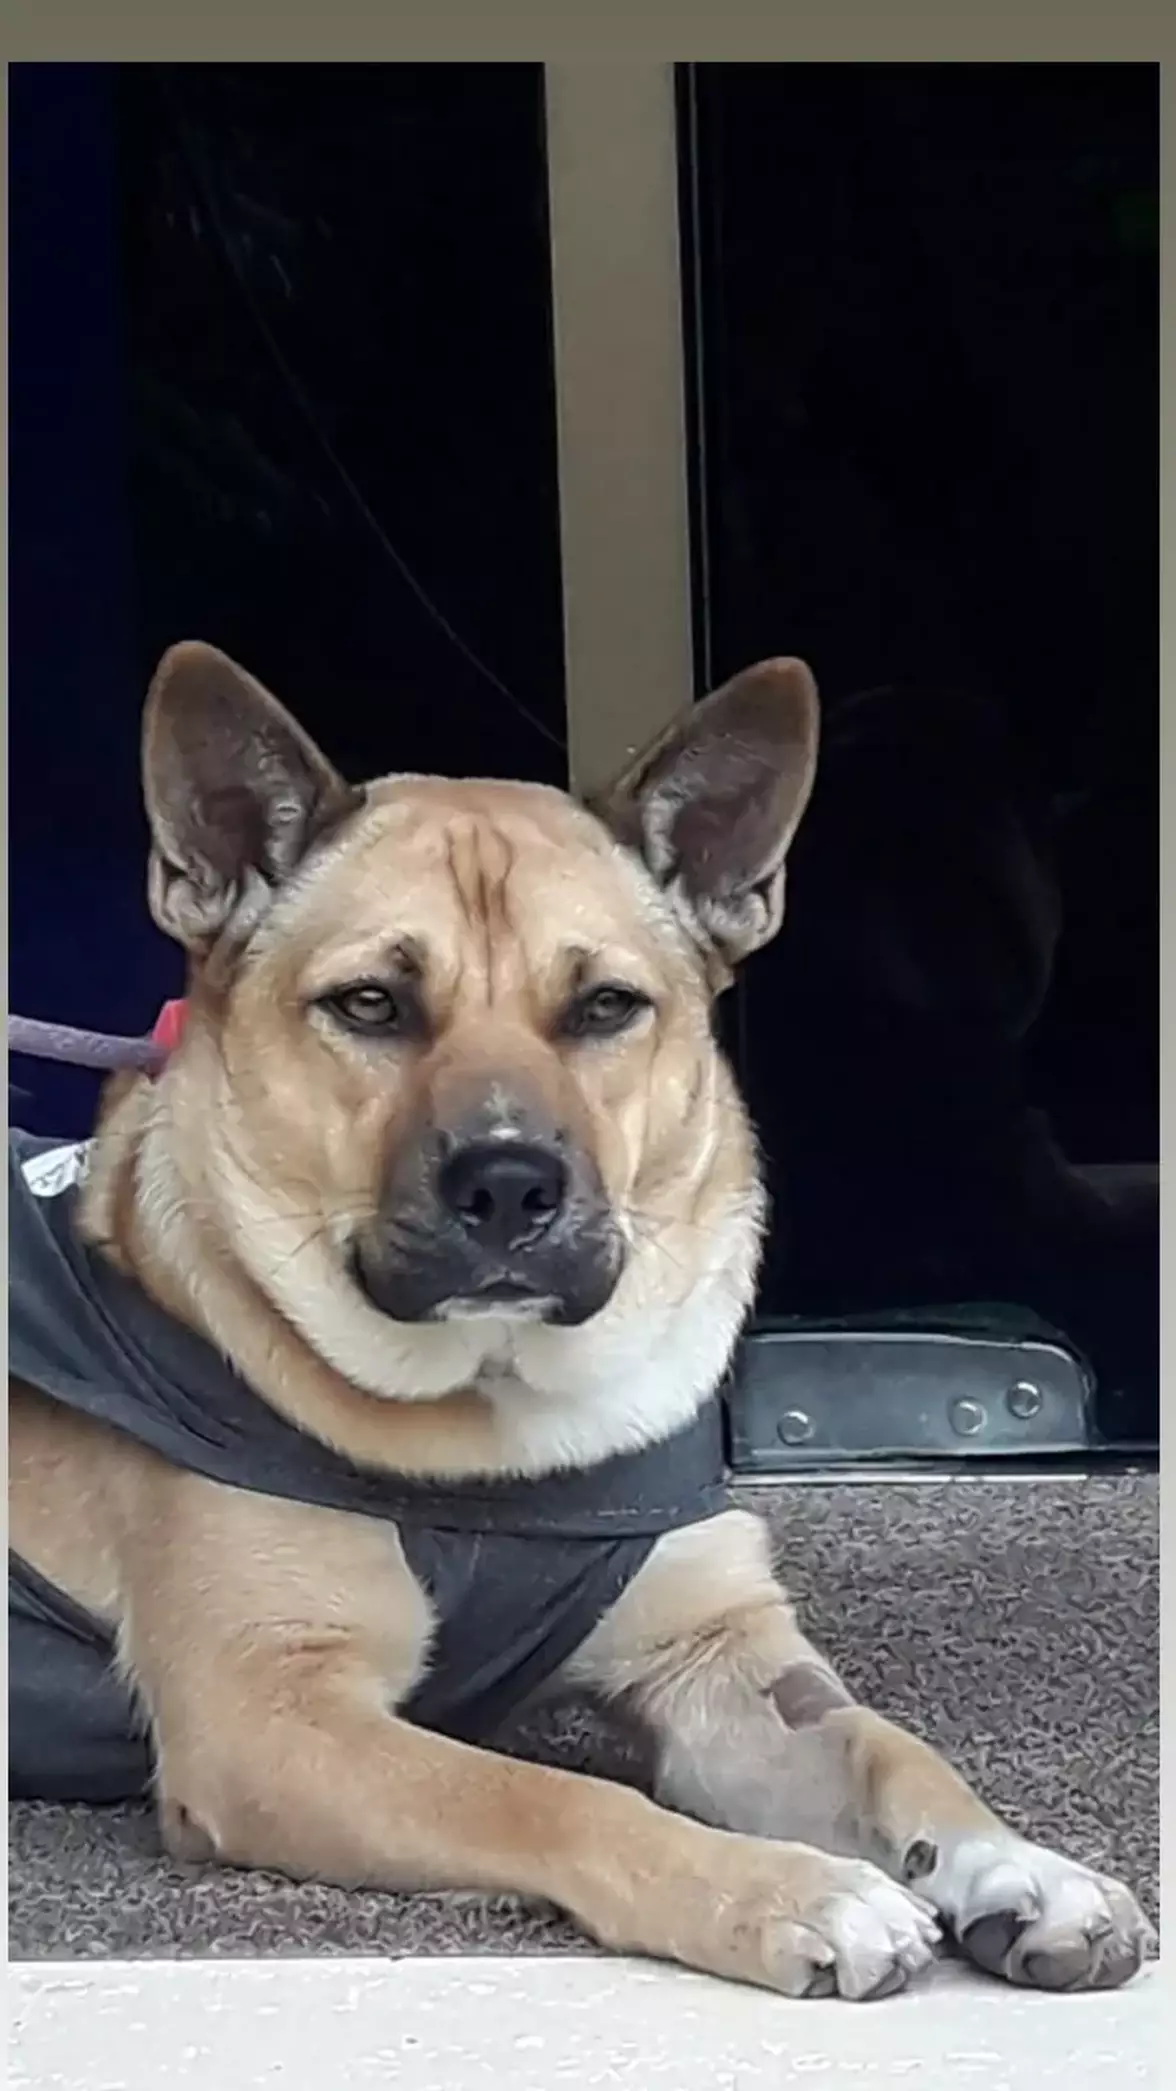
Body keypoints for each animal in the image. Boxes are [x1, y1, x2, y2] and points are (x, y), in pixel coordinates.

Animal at [8, 641, 1153, 2000]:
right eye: (370, 1006)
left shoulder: (722, 1662)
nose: (509, 1183)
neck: (500, 1414)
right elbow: (544, 1796)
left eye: (607, 1007)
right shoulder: (270, 1719)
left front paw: (1020, 1865)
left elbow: (891, 1750)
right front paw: (794, 1891)